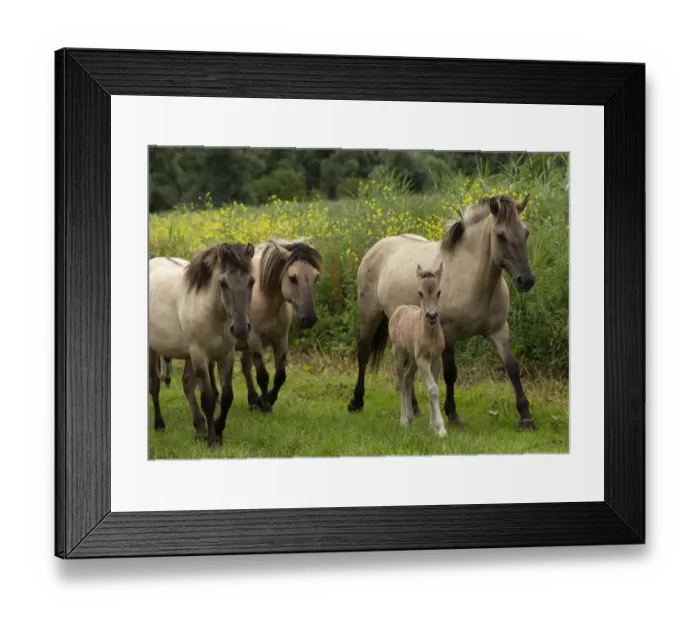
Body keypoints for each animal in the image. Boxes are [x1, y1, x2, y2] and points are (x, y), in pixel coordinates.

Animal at [148, 242, 255, 447]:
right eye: (223, 283)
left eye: (252, 281)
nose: (240, 329)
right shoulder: (200, 354)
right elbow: (208, 398)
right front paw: (213, 441)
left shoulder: (226, 355)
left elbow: (227, 395)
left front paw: (218, 429)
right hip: (152, 349)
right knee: (155, 385)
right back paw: (160, 425)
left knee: (187, 384)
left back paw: (200, 428)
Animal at [388, 262, 447, 437]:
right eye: (420, 293)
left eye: (439, 292)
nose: (432, 316)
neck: (430, 334)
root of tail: (398, 309)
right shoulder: (423, 359)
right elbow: (433, 389)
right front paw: (441, 428)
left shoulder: (436, 359)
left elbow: (434, 388)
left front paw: (433, 426)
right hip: (399, 352)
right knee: (400, 381)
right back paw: (403, 421)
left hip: (413, 358)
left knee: (408, 378)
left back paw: (409, 417)